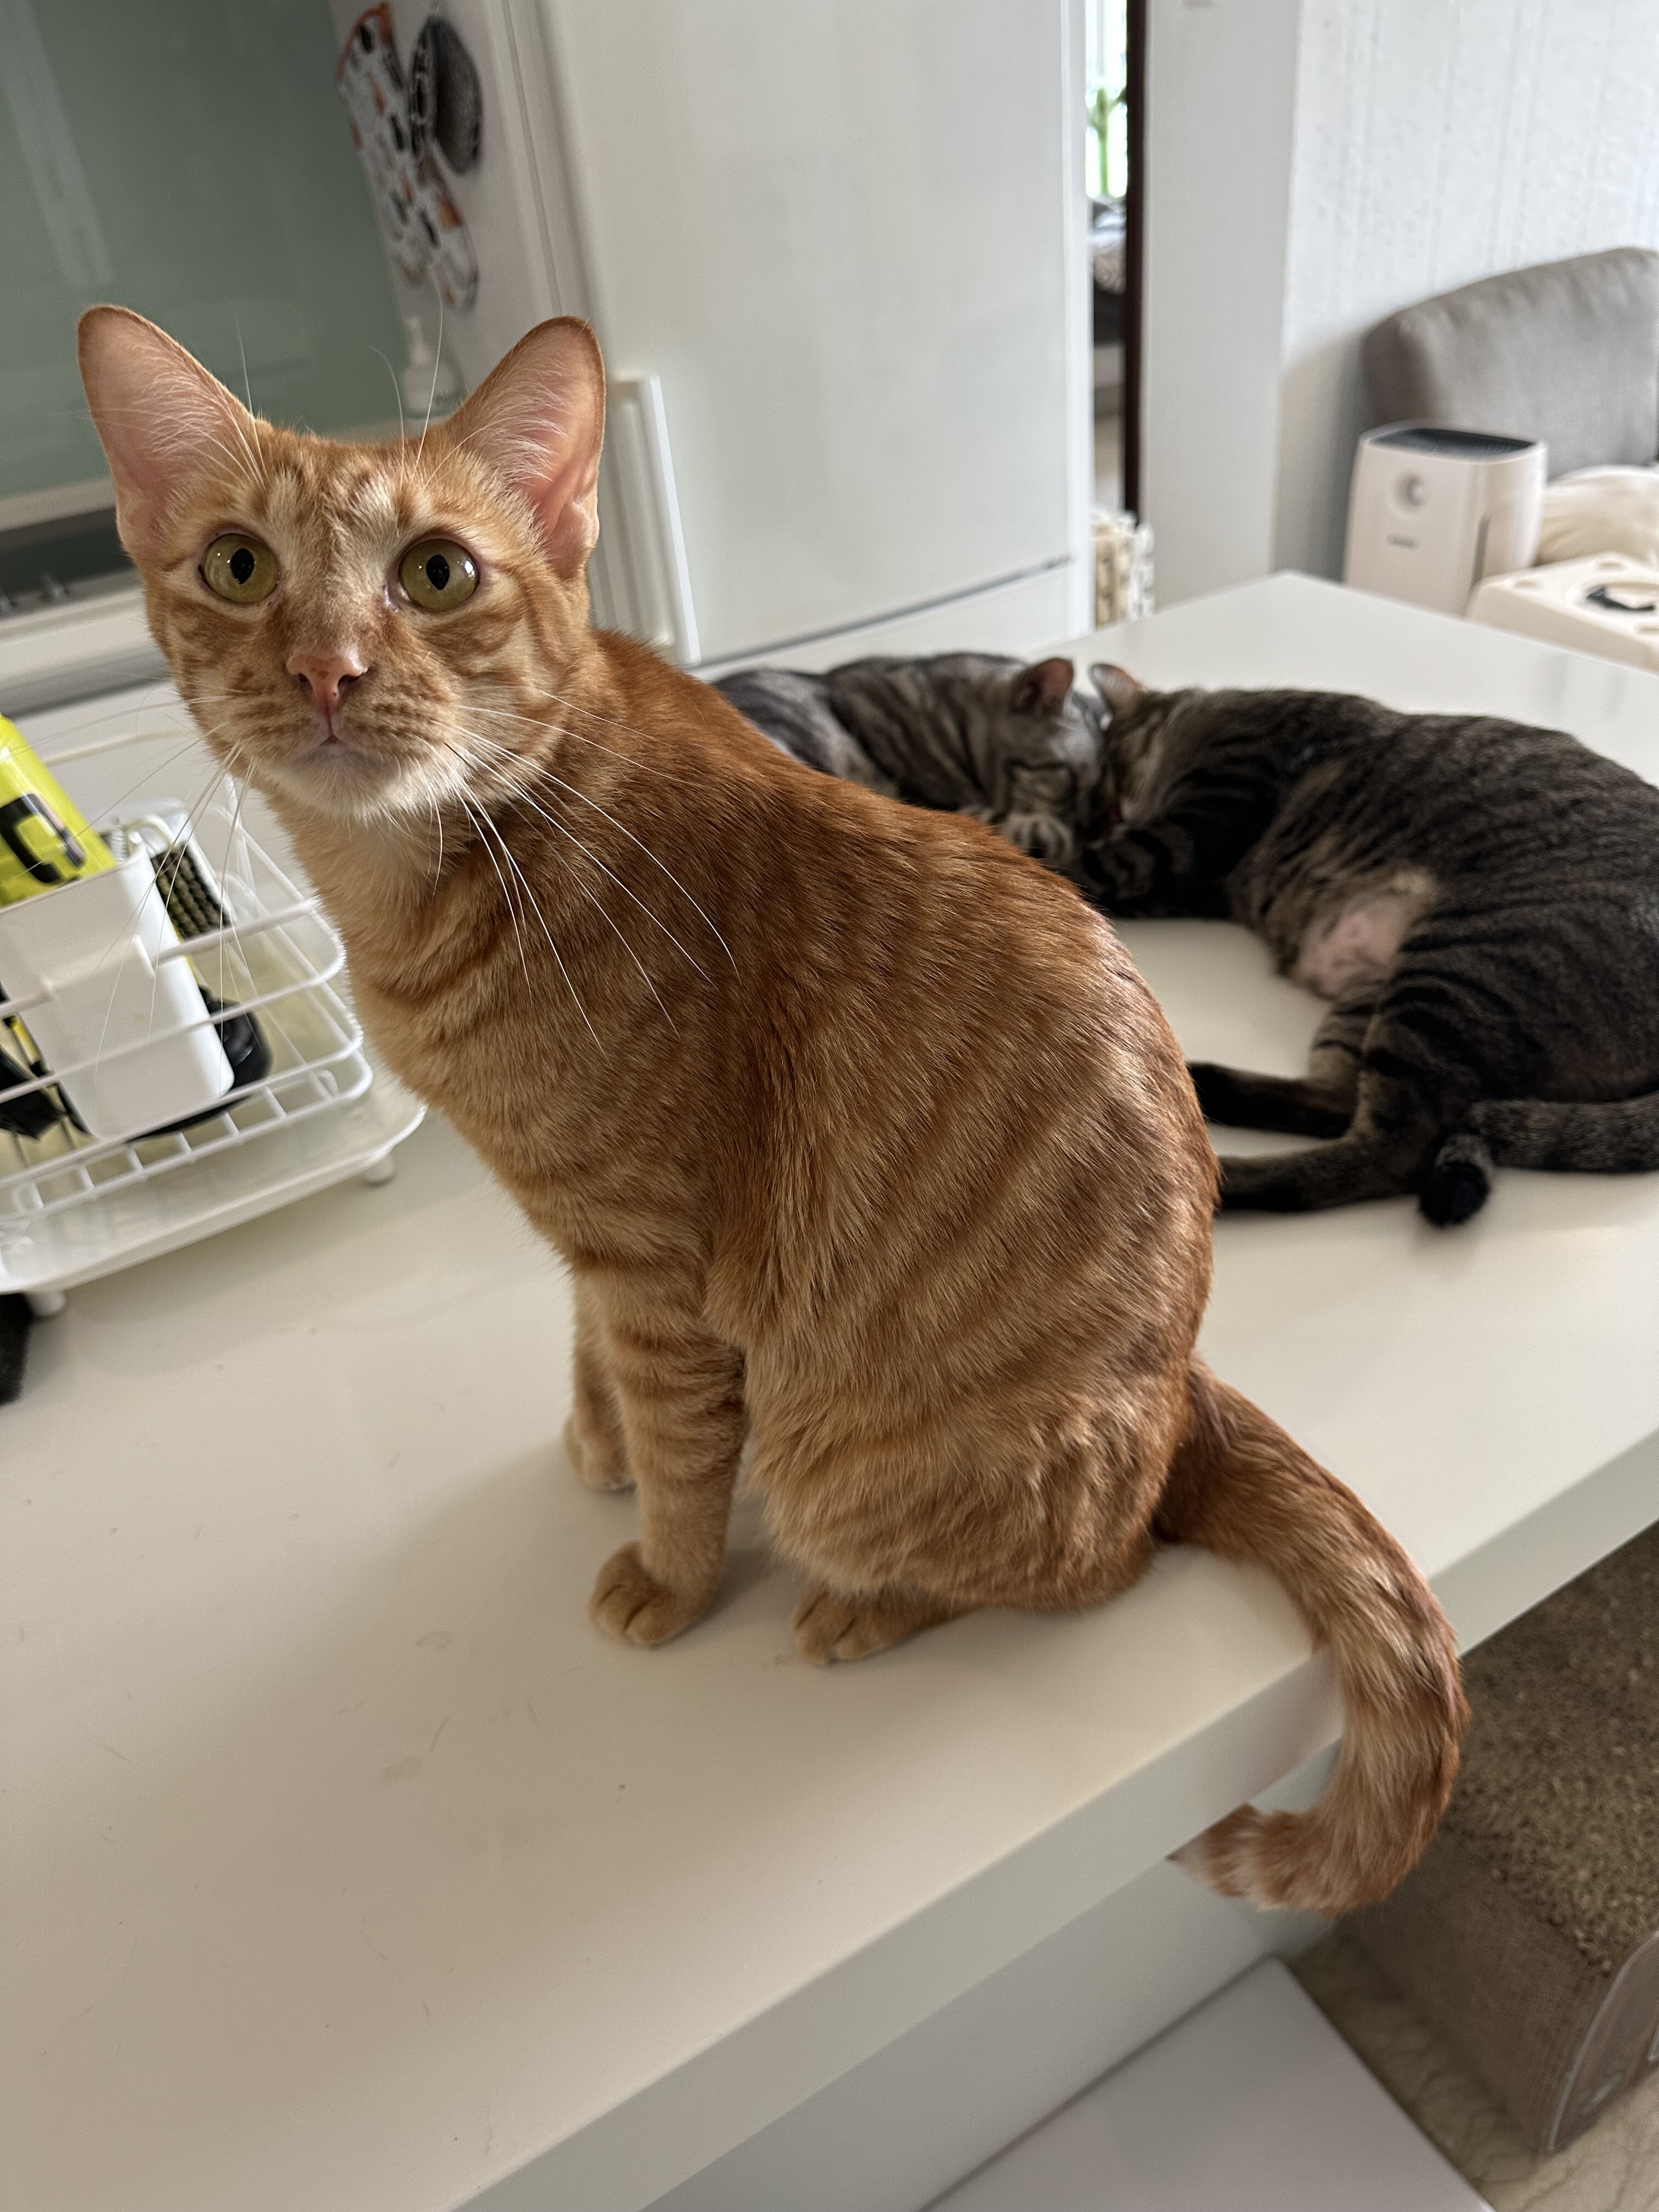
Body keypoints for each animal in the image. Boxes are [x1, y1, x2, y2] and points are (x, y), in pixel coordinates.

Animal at [1079, 666, 1659, 1221]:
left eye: (1110, 770)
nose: (1109, 815)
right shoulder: (1178, 882)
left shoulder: (1193, 822)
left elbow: (1089, 861)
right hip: (1383, 993)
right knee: (1339, 1102)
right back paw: (1202, 1087)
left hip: (1455, 971)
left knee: (1389, 1152)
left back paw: (1202, 1181)